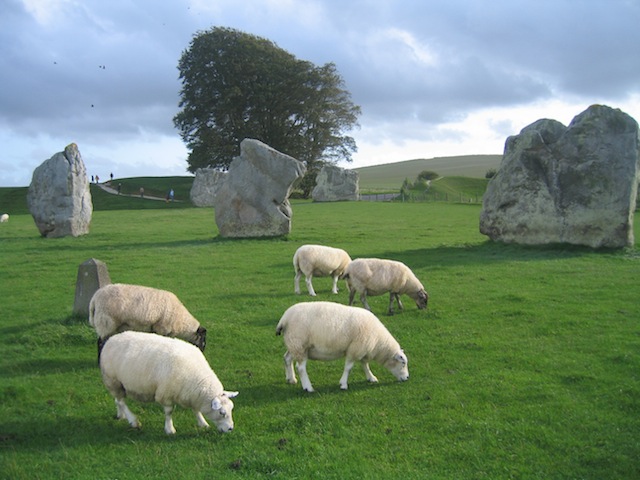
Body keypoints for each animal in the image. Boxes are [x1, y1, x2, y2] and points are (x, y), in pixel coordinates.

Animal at [100, 330, 238, 436]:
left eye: (231, 408)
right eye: (222, 413)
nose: (230, 429)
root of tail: (111, 339)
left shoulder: (192, 394)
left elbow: (196, 410)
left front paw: (203, 423)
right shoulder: (165, 394)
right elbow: (169, 412)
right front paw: (170, 429)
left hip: (117, 384)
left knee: (118, 400)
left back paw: (121, 415)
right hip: (114, 380)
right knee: (121, 402)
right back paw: (133, 421)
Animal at [276, 302, 410, 392]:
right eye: (403, 363)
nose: (407, 377)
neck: (378, 342)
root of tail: (284, 318)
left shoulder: (362, 349)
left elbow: (365, 365)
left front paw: (371, 377)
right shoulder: (354, 349)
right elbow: (348, 368)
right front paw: (343, 384)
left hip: (294, 344)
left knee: (287, 358)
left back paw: (291, 379)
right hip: (300, 345)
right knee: (301, 368)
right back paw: (308, 387)